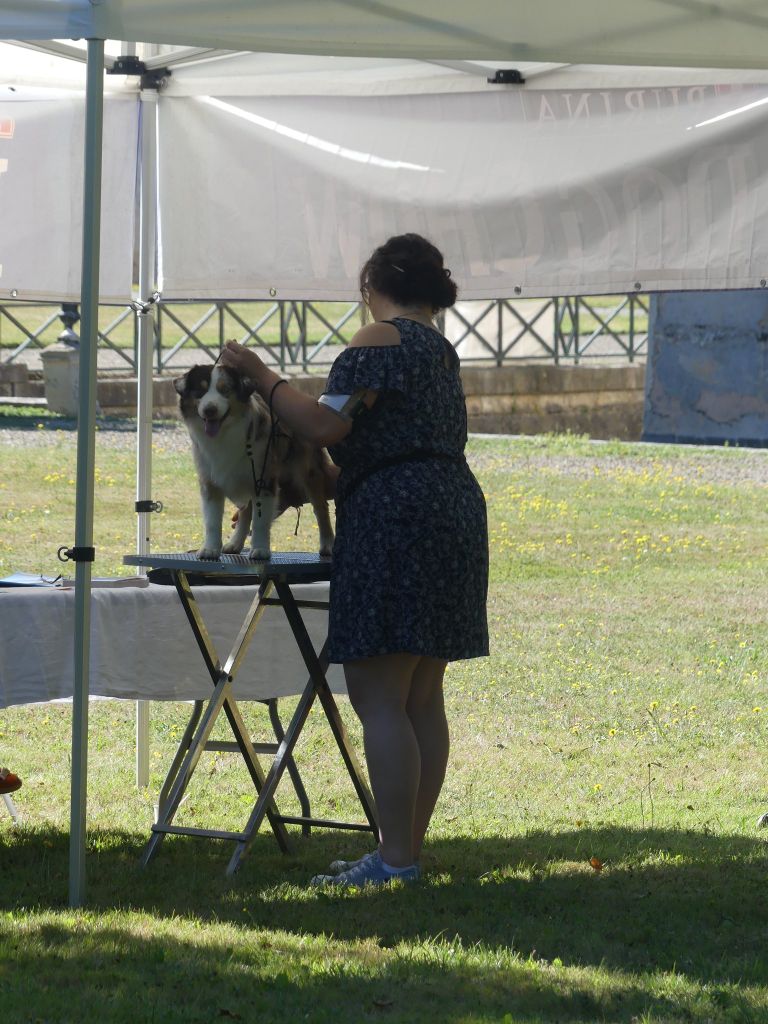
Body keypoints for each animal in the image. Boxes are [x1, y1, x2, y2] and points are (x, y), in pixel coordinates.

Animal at [176, 364, 335, 561]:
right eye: (200, 391)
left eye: (225, 390)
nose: (209, 410)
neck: (224, 435)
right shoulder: (210, 481)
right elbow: (212, 521)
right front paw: (210, 549)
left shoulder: (264, 479)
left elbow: (260, 521)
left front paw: (260, 549)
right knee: (246, 512)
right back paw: (235, 544)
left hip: (308, 471)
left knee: (321, 508)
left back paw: (327, 544)